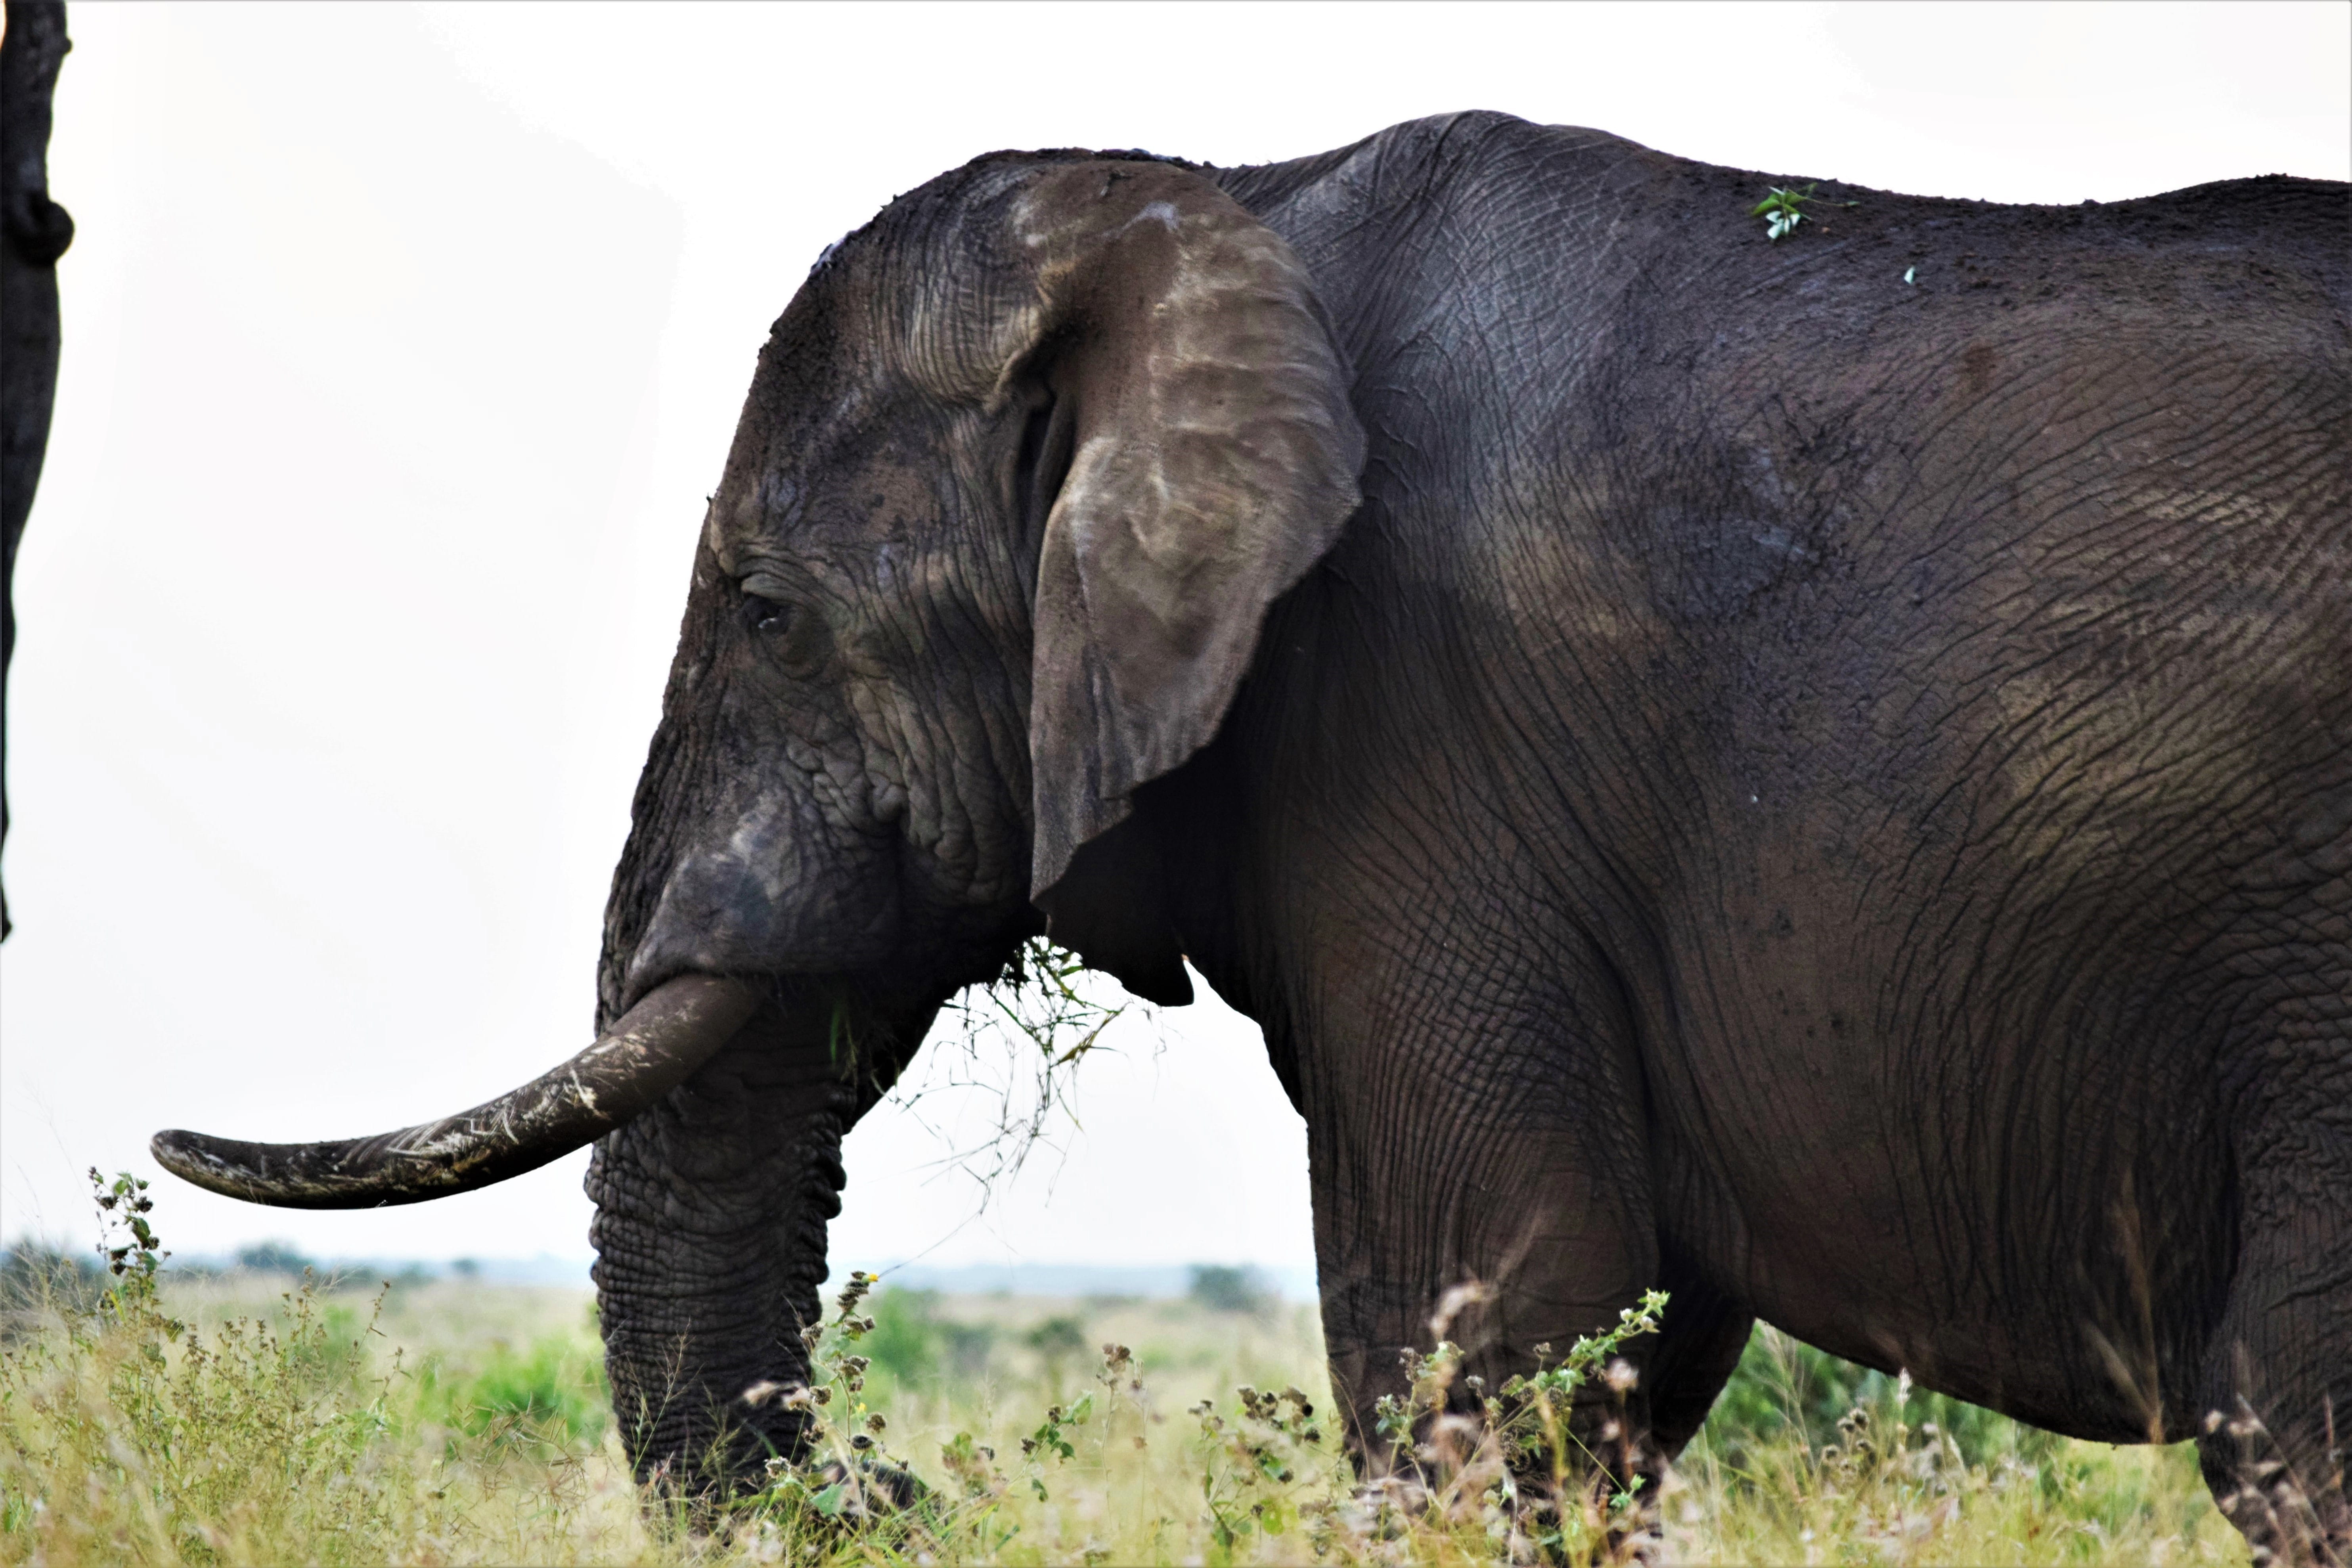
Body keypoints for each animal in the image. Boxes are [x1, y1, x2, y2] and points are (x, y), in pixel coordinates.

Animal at [153, 112, 2350, 1558]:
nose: (891, 1476)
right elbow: (1612, 1356)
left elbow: (1485, 1322)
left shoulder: (1428, 752)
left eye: (767, 612)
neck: (1223, 197)